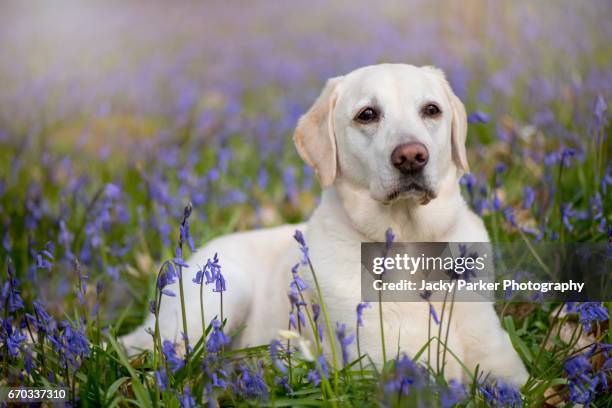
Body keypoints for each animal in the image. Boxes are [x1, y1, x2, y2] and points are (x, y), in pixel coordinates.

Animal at [122, 63, 528, 386]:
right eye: (367, 114)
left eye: (431, 110)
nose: (412, 156)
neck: (409, 240)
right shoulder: (386, 363)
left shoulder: (505, 366)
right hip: (222, 293)